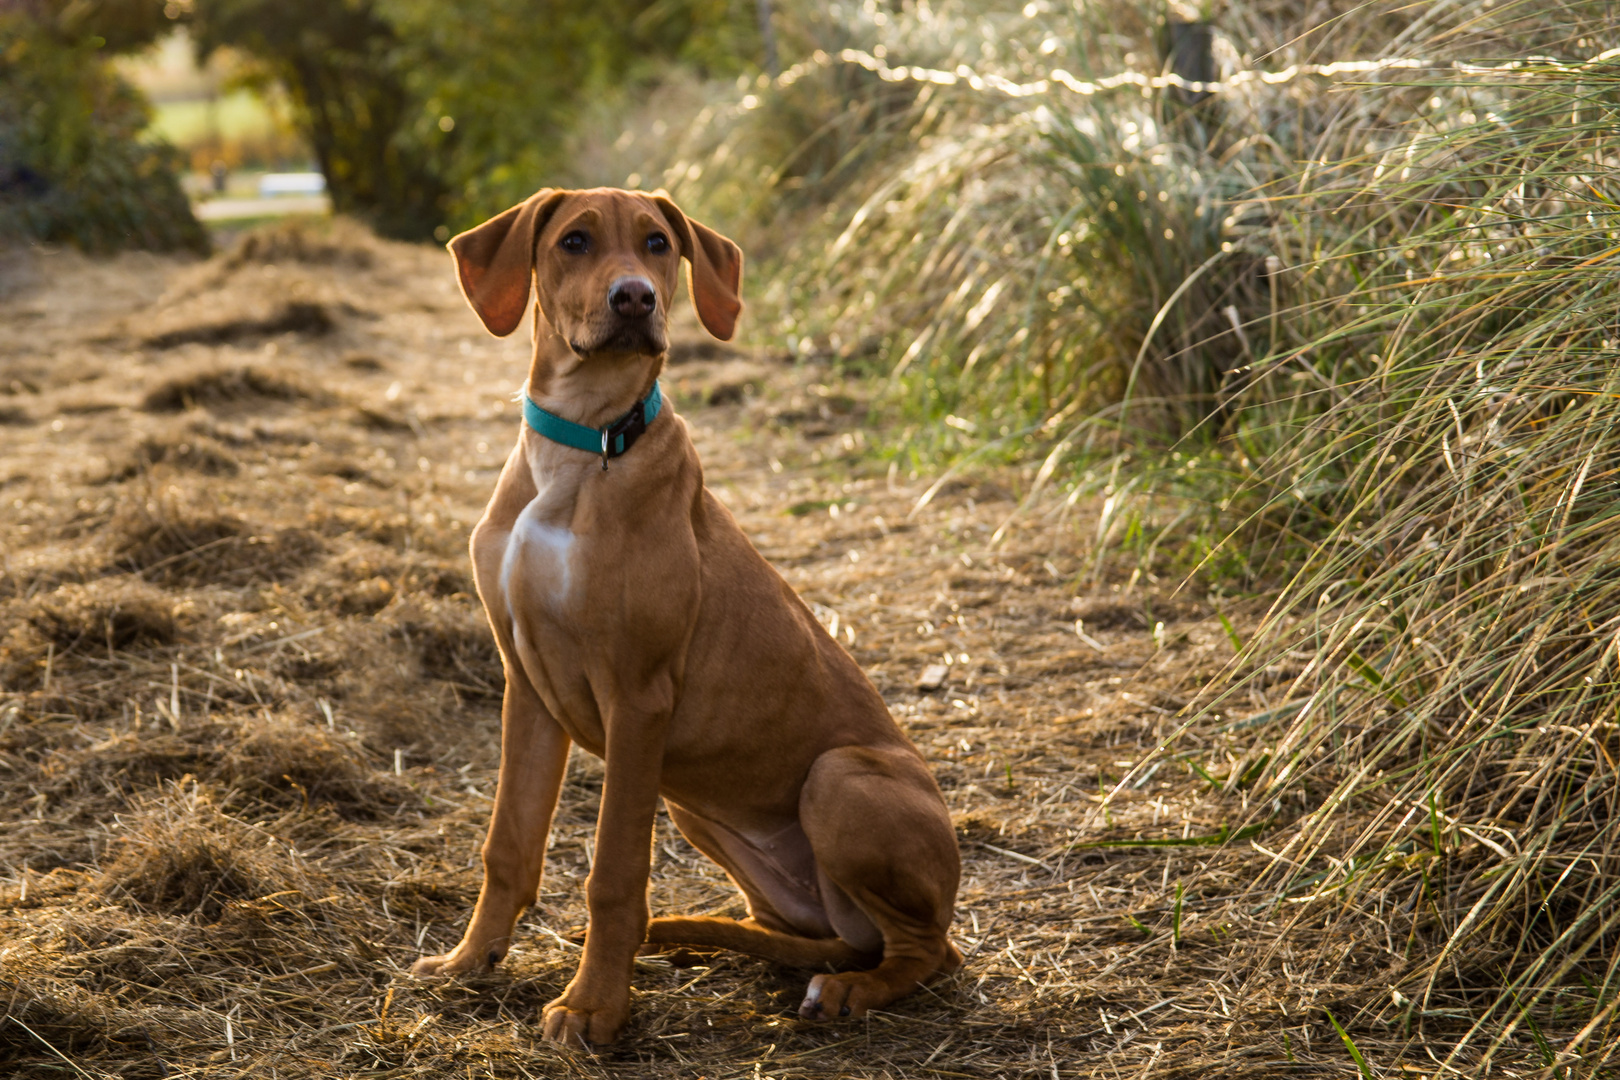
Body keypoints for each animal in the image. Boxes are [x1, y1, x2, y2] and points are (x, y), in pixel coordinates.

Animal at [411, 187, 959, 1049]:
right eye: (573, 241)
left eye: (658, 244)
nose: (634, 297)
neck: (584, 445)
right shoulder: (525, 683)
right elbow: (509, 844)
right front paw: (469, 961)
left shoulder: (638, 699)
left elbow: (613, 874)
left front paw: (593, 1009)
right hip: (699, 813)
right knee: (819, 936)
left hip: (839, 778)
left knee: (927, 950)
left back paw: (848, 992)